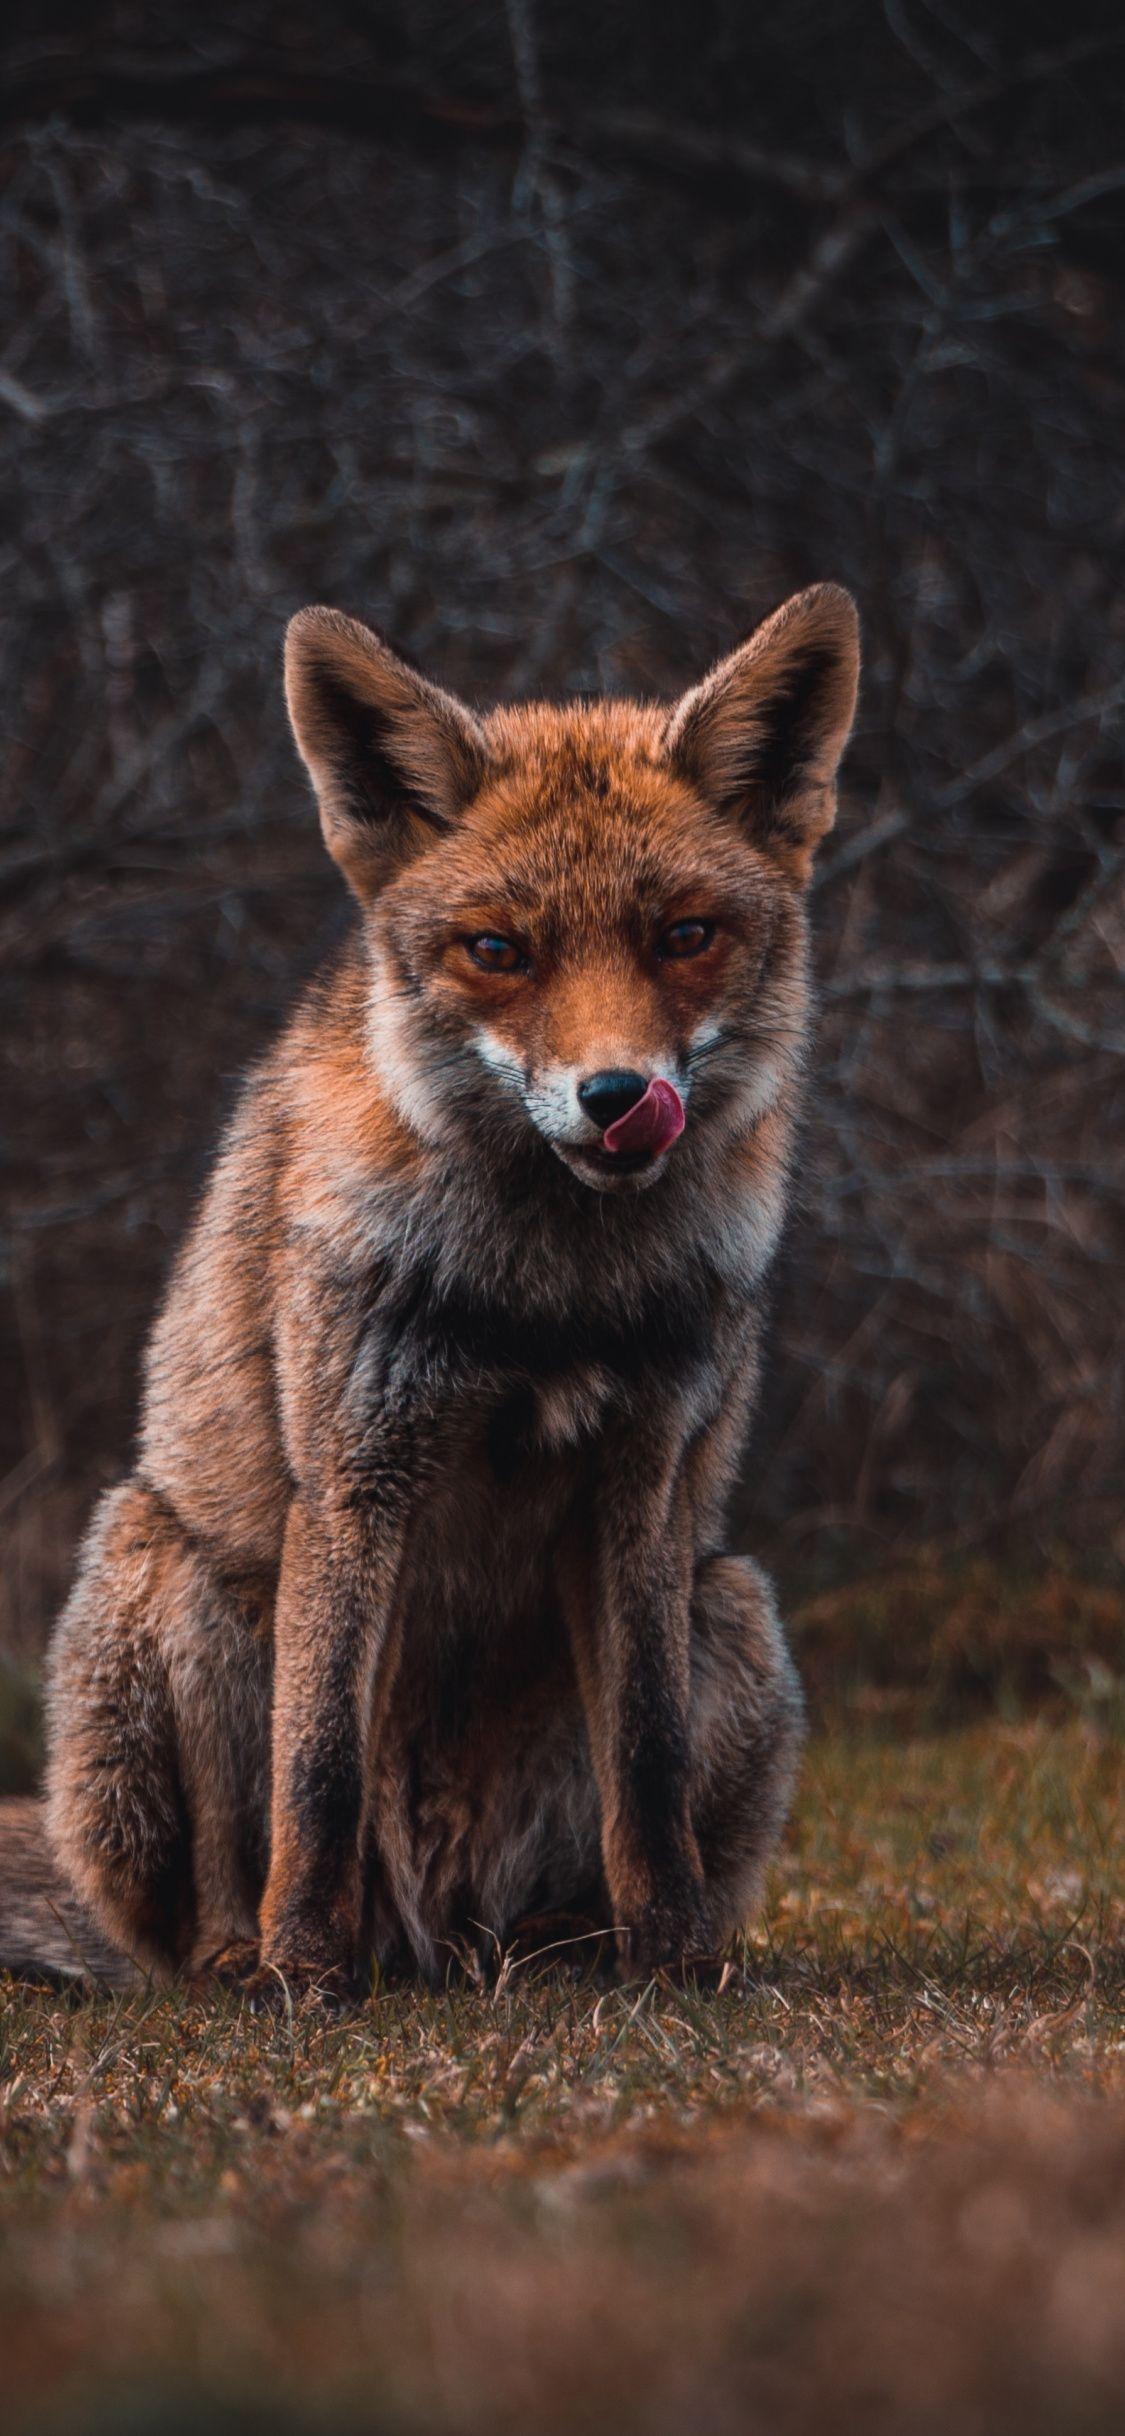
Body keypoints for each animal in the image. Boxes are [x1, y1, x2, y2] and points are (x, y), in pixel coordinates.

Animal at [0, 581, 859, 2000]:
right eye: (497, 950)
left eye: (685, 937)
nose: (618, 1097)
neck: (552, 1299)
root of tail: (432, 1939)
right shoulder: (360, 1471)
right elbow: (319, 1770)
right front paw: (305, 1979)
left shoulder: (639, 1487)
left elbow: (647, 1766)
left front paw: (677, 1964)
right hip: (171, 1568)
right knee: (222, 1879)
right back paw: (254, 1958)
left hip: (728, 1602)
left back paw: (580, 1951)